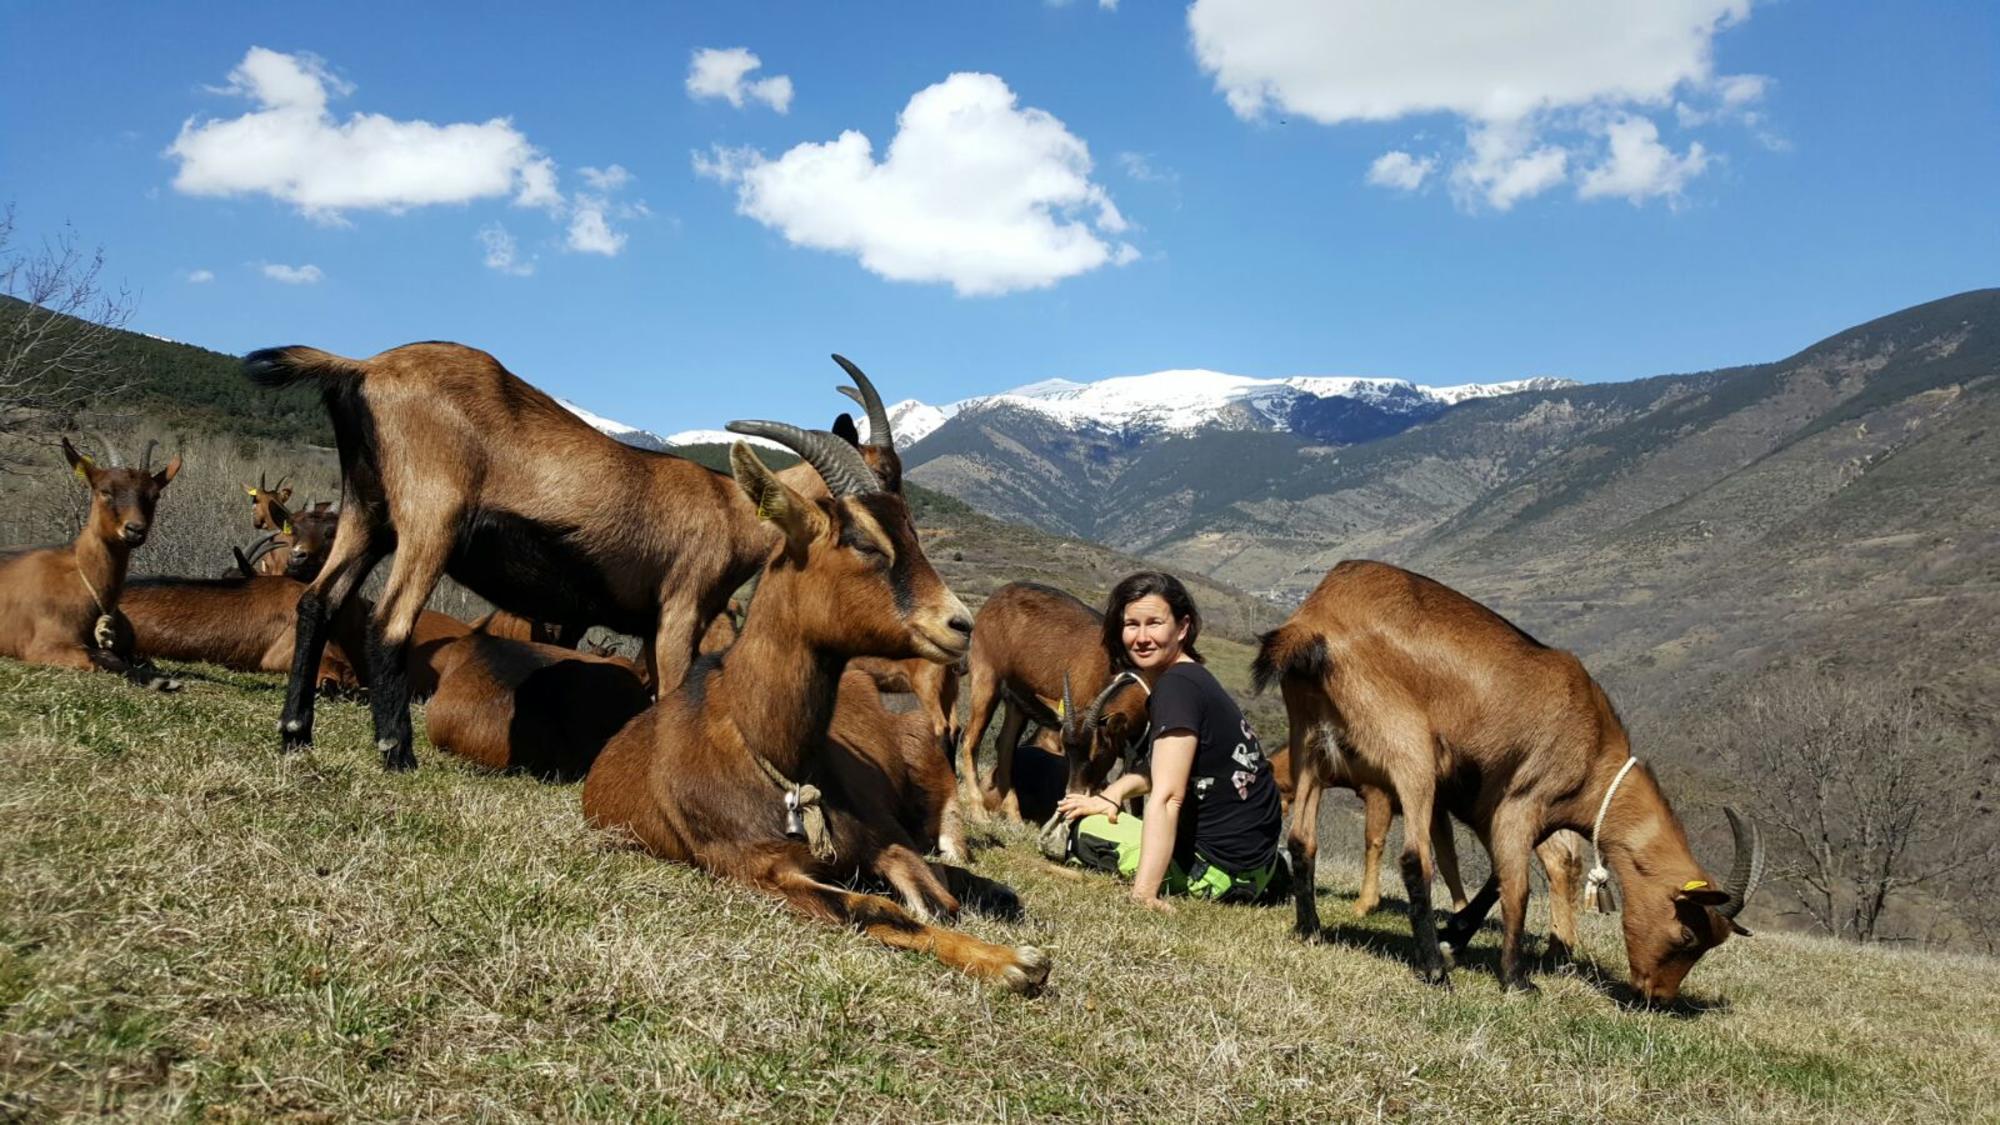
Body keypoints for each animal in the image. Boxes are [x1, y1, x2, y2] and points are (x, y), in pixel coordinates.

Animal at [580, 422, 1048, 988]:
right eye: (865, 541)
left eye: (912, 532)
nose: (960, 624)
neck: (774, 756)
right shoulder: (756, 871)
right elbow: (879, 908)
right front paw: (1011, 961)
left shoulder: (880, 837)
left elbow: (932, 897)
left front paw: (1000, 950)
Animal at [956, 580, 1152, 820]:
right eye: (1067, 751)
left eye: (1099, 751)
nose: (1074, 793)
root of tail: (996, 598)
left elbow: (1137, 804)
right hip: (986, 679)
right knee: (970, 739)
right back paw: (978, 812)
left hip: (1017, 700)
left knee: (1005, 745)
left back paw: (1014, 815)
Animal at [1256, 560, 1760, 996]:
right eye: (1687, 937)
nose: (1655, 995)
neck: (1593, 747)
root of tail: (1316, 618)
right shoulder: (1521, 802)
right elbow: (1517, 887)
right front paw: (1514, 978)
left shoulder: (1494, 810)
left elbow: (1499, 876)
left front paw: (1455, 936)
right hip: (1409, 752)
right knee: (1414, 859)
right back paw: (1434, 972)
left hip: (1309, 750)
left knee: (1302, 839)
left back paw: (1311, 930)